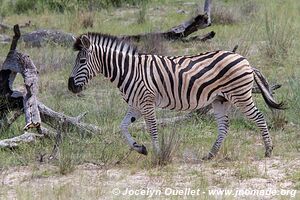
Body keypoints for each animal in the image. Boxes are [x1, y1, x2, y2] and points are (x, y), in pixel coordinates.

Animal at [67, 32, 284, 159]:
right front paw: (140, 148)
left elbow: (152, 129)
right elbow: (122, 127)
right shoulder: (135, 105)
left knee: (259, 117)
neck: (128, 70)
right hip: (220, 99)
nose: (70, 87)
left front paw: (157, 154)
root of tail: (244, 59)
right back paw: (210, 155)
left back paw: (268, 150)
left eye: (82, 61)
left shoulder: (146, 102)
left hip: (240, 95)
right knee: (224, 127)